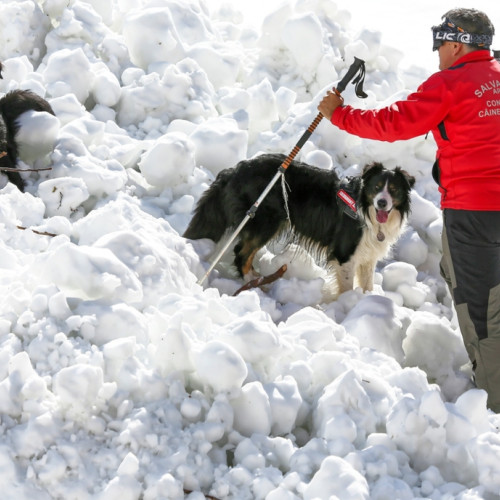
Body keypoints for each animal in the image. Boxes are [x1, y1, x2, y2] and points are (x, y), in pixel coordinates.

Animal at [184, 154, 414, 294]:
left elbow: (367, 283)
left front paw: (365, 301)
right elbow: (347, 286)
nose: (382, 203)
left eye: (393, 189)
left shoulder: (368, 253)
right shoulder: (345, 253)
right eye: (376, 187)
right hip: (265, 220)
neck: (365, 210)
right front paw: (347, 305)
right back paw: (256, 285)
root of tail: (234, 171)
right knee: (241, 252)